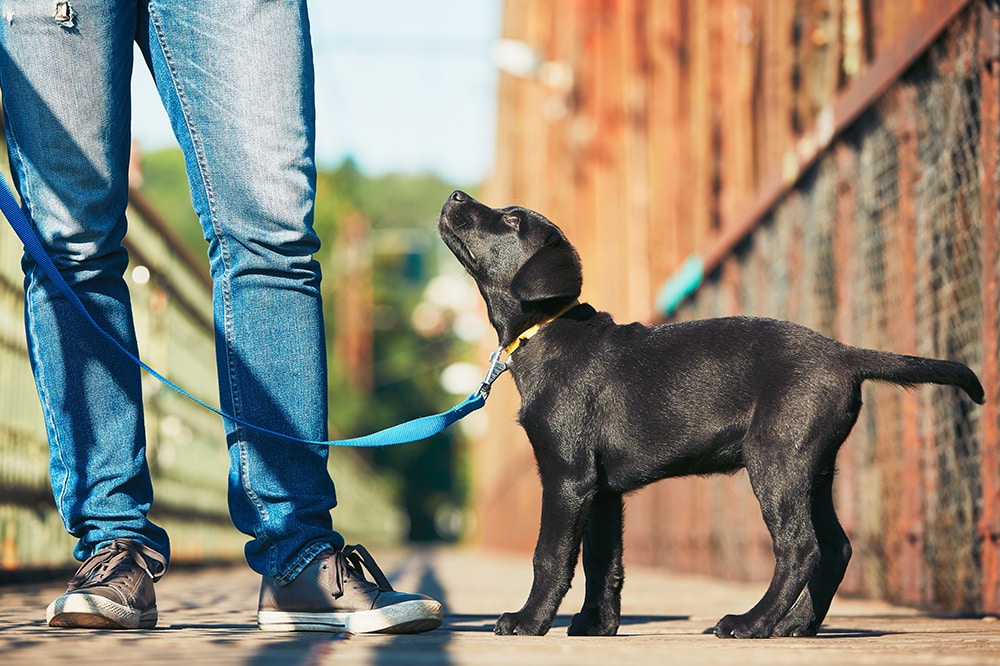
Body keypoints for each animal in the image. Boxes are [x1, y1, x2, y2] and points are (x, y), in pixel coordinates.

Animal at [438, 189, 984, 636]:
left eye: (511, 219)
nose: (456, 194)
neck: (545, 330)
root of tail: (844, 353)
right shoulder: (602, 490)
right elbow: (603, 562)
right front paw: (596, 625)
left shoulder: (567, 476)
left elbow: (550, 556)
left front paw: (529, 621)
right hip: (814, 467)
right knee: (835, 548)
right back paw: (795, 626)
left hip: (776, 460)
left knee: (800, 547)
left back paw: (752, 623)